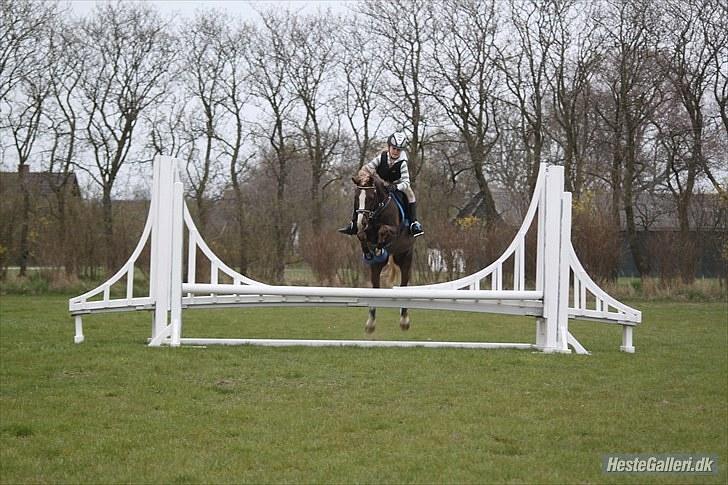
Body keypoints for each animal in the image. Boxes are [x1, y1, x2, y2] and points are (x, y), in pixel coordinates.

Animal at [352, 171, 416, 332]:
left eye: (370, 197)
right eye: (356, 197)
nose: (361, 222)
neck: (378, 210)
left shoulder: (394, 231)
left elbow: (384, 230)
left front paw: (380, 248)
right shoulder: (365, 231)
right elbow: (361, 235)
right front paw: (369, 252)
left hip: (405, 256)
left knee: (404, 283)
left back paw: (404, 320)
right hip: (377, 268)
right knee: (376, 285)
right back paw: (371, 322)